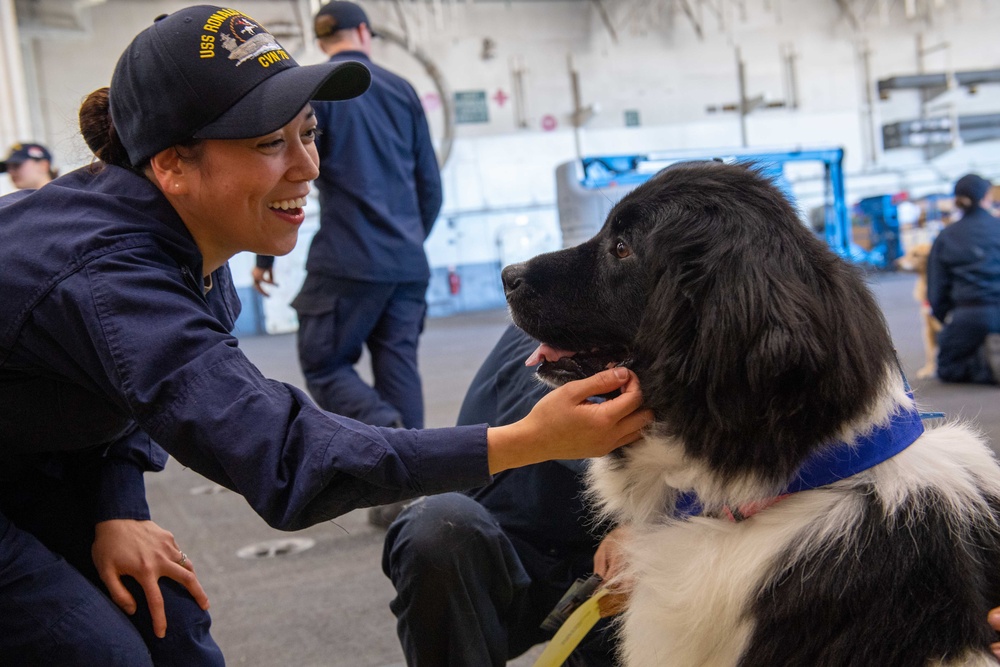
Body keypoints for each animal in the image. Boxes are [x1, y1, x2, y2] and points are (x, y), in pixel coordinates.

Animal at [896, 244, 940, 380]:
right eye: (908, 252)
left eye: (916, 255)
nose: (896, 264)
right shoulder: (928, 326)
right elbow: (929, 353)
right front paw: (929, 370)